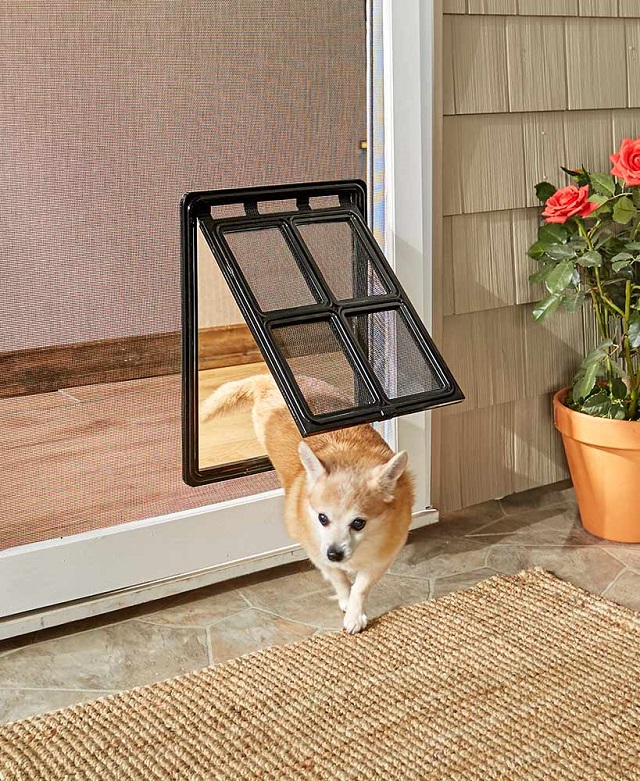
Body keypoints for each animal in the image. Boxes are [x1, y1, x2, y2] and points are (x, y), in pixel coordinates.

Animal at [202, 374, 418, 632]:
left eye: (358, 523)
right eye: (322, 518)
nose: (334, 553)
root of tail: (266, 381)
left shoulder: (381, 558)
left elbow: (360, 586)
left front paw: (355, 614)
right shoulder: (318, 554)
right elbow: (340, 579)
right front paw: (346, 601)